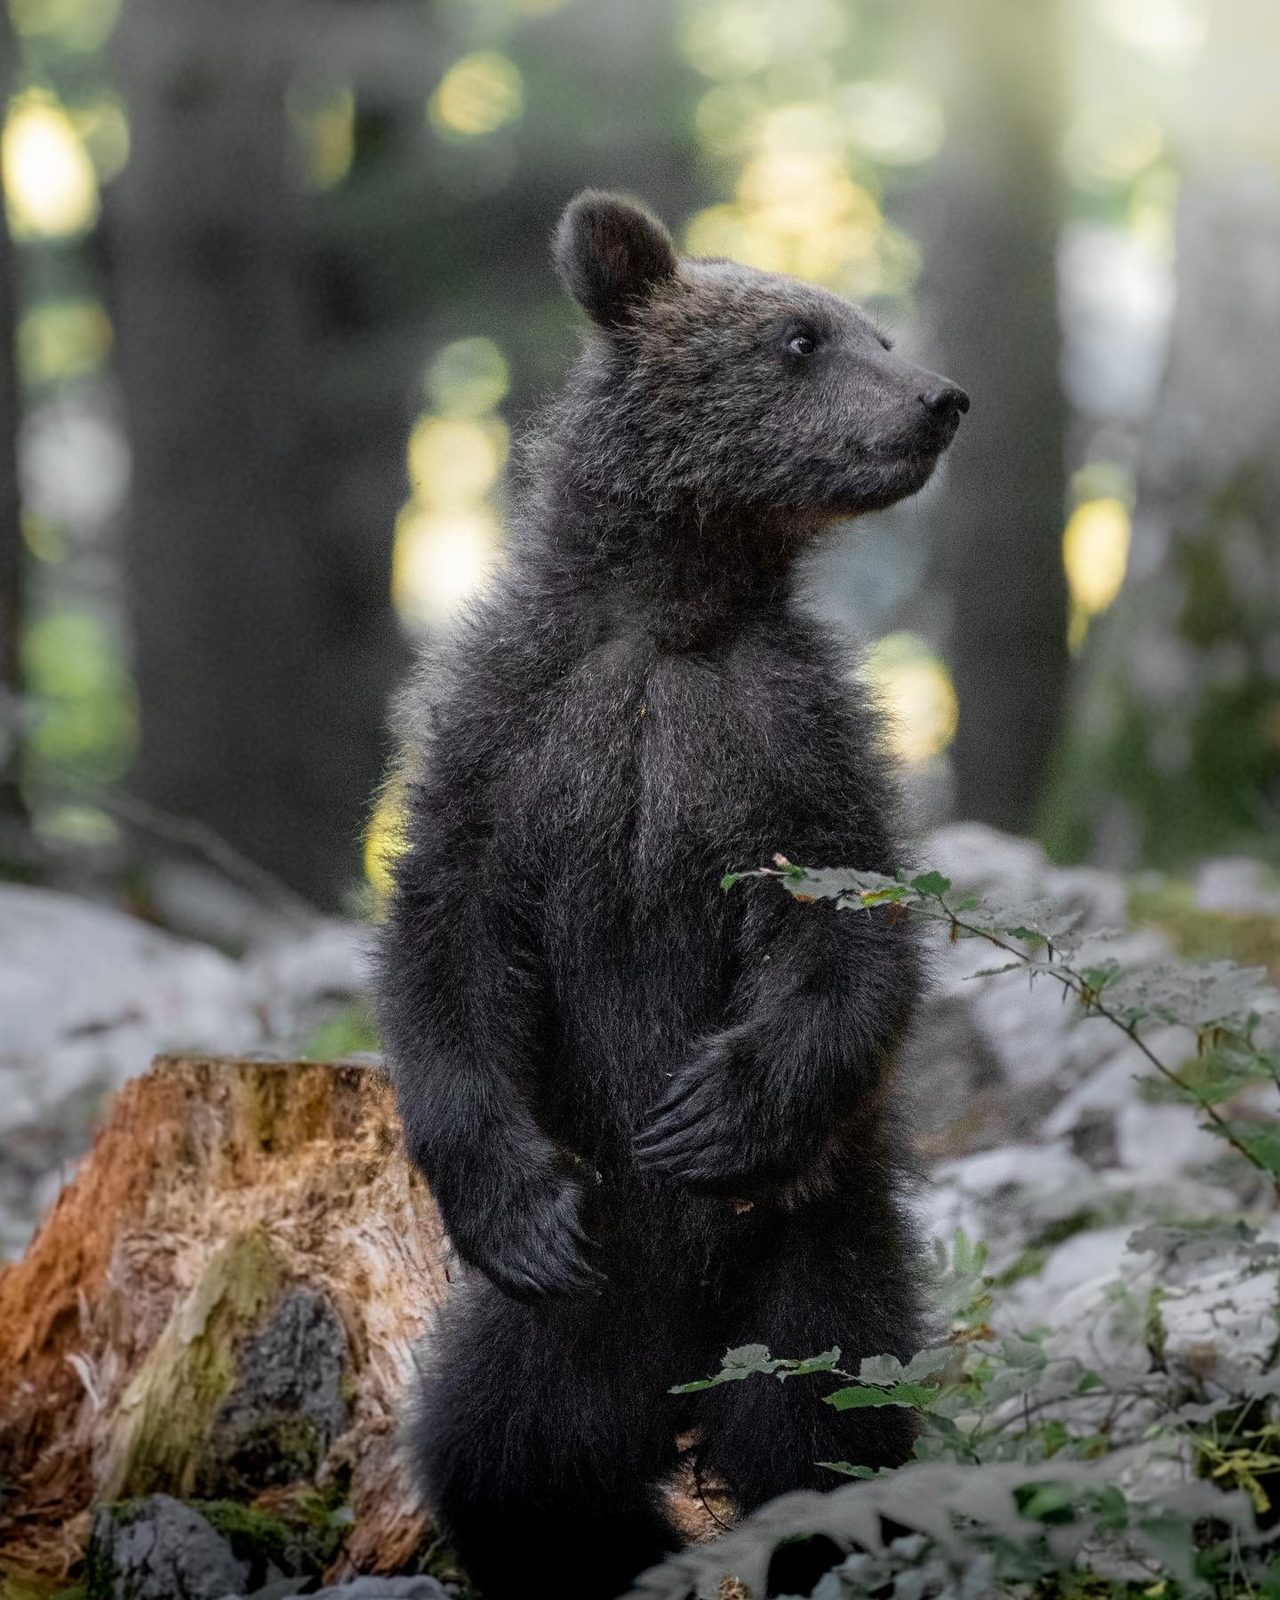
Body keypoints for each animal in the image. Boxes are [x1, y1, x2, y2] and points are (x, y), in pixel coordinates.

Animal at [376, 191, 969, 1600]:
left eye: (869, 329)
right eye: (802, 338)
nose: (938, 397)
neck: (669, 609)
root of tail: (673, 1375)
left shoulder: (786, 739)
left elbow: (843, 929)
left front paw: (708, 1109)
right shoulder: (516, 731)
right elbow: (448, 939)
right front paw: (508, 1199)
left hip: (810, 1269)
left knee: (828, 1442)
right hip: (560, 1325)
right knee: (502, 1458)